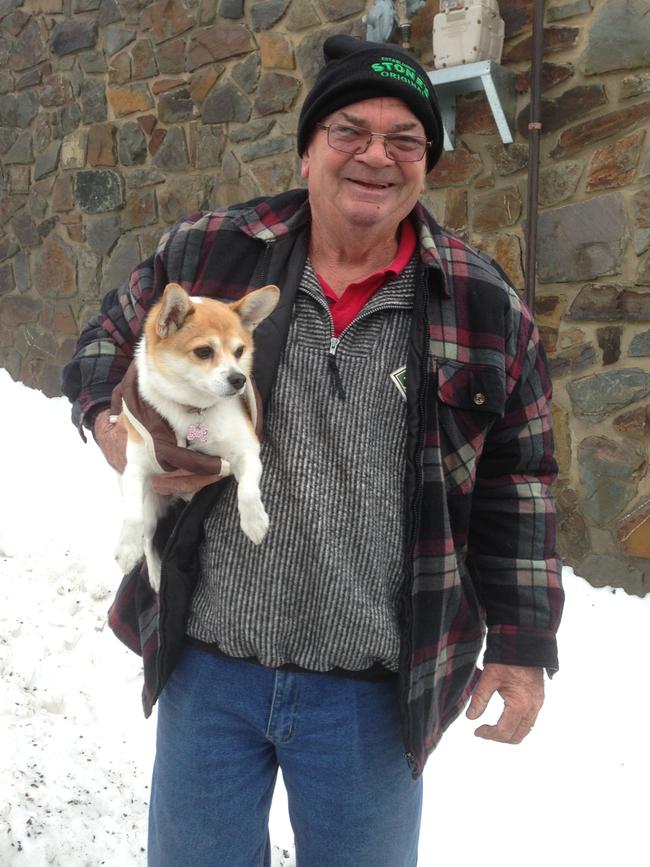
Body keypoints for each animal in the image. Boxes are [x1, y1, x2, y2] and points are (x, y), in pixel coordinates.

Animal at [113, 282, 278, 592]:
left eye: (240, 351)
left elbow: (248, 489)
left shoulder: (247, 452)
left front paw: (254, 522)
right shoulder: (136, 467)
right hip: (152, 505)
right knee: (148, 536)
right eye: (203, 352)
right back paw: (155, 574)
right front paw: (127, 550)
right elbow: (131, 515)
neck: (194, 410)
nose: (239, 379)